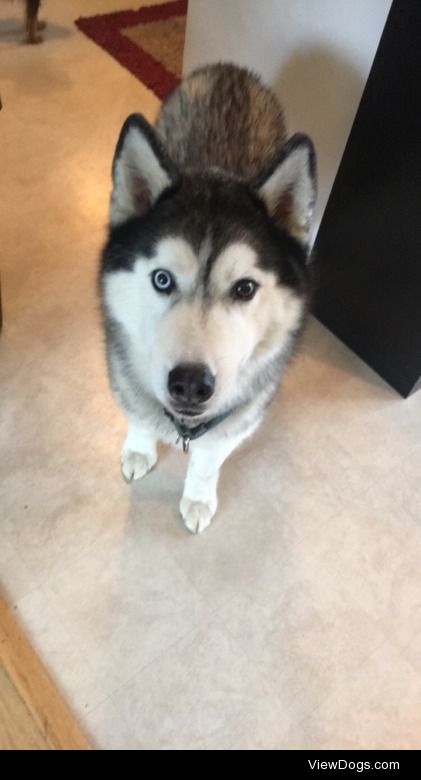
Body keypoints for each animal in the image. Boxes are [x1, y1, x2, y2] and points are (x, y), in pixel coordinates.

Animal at [99, 64, 316, 532]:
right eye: (162, 279)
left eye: (245, 288)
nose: (190, 384)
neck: (183, 424)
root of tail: (230, 70)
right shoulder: (125, 377)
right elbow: (138, 416)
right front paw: (140, 447)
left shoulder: (238, 419)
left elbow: (208, 460)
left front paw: (197, 497)